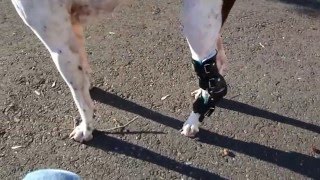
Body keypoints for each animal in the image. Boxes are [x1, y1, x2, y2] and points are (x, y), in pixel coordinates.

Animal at [10, 0, 235, 143]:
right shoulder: (73, 32)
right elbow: (82, 81)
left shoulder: (60, 47)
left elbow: (81, 101)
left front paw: (87, 128)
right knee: (218, 61)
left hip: (196, 23)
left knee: (212, 77)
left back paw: (194, 120)